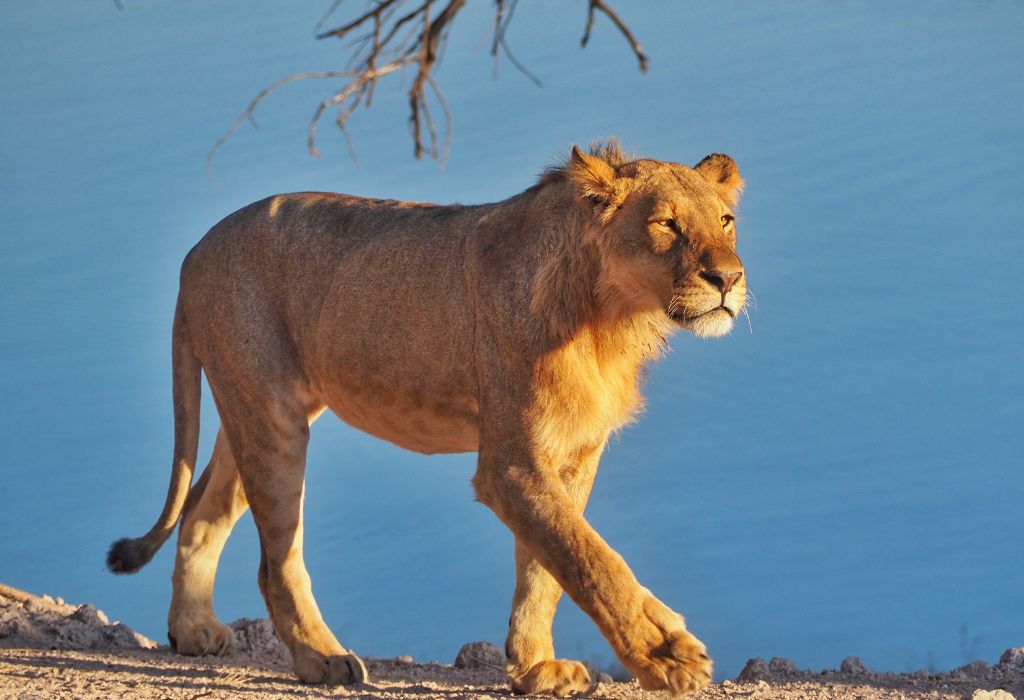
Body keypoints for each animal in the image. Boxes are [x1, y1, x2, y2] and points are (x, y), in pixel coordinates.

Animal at [105, 141, 745, 695]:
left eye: (726, 220)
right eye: (665, 224)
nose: (729, 279)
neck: (609, 317)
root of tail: (196, 251)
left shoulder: (574, 453)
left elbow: (544, 568)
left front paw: (536, 666)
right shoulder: (511, 464)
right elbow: (589, 559)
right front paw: (668, 656)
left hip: (251, 411)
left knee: (201, 514)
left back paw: (193, 631)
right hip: (273, 421)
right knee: (276, 562)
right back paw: (323, 658)